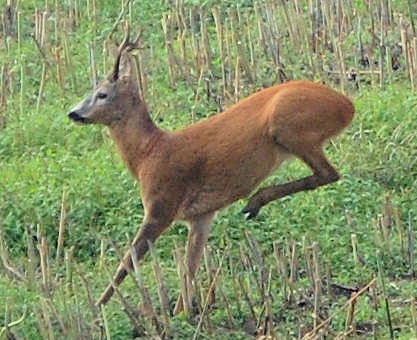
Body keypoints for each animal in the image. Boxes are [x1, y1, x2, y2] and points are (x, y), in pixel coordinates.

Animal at [68, 27, 354, 310]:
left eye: (102, 94)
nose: (73, 113)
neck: (147, 154)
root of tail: (347, 106)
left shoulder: (162, 204)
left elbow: (127, 261)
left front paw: (97, 307)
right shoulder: (202, 215)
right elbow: (189, 268)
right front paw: (183, 312)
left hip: (288, 125)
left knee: (328, 173)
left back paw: (254, 203)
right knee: (328, 174)